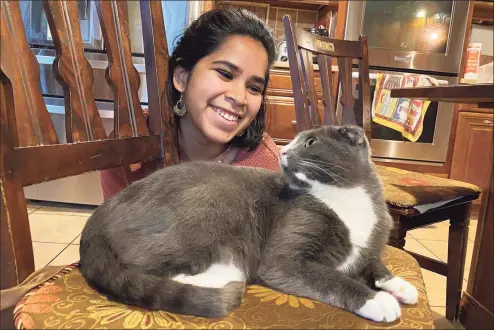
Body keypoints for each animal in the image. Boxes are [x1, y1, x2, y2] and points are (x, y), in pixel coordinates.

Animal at [80, 124, 418, 322]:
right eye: (294, 141)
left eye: (310, 142)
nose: (283, 150)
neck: (346, 196)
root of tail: (97, 218)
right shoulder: (285, 260)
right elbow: (333, 278)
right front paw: (379, 301)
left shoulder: (369, 247)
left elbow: (376, 266)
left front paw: (402, 286)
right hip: (208, 204)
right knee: (146, 268)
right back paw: (224, 276)